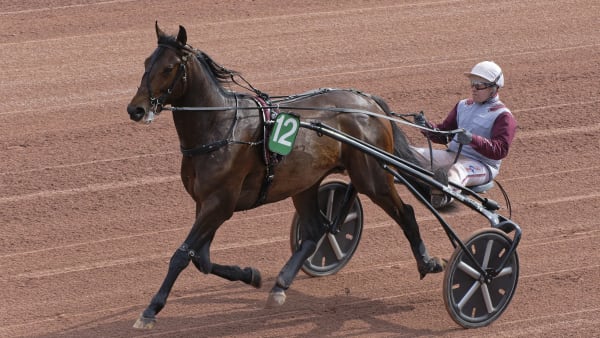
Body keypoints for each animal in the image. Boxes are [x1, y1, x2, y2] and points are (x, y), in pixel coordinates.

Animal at [125, 22, 446, 328]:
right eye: (145, 62)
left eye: (168, 67)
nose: (136, 109)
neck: (221, 126)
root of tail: (368, 101)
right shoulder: (204, 203)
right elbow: (201, 259)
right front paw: (250, 274)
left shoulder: (220, 203)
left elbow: (182, 254)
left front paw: (150, 310)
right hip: (305, 184)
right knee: (315, 231)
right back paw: (280, 286)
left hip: (373, 177)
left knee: (405, 212)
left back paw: (428, 262)